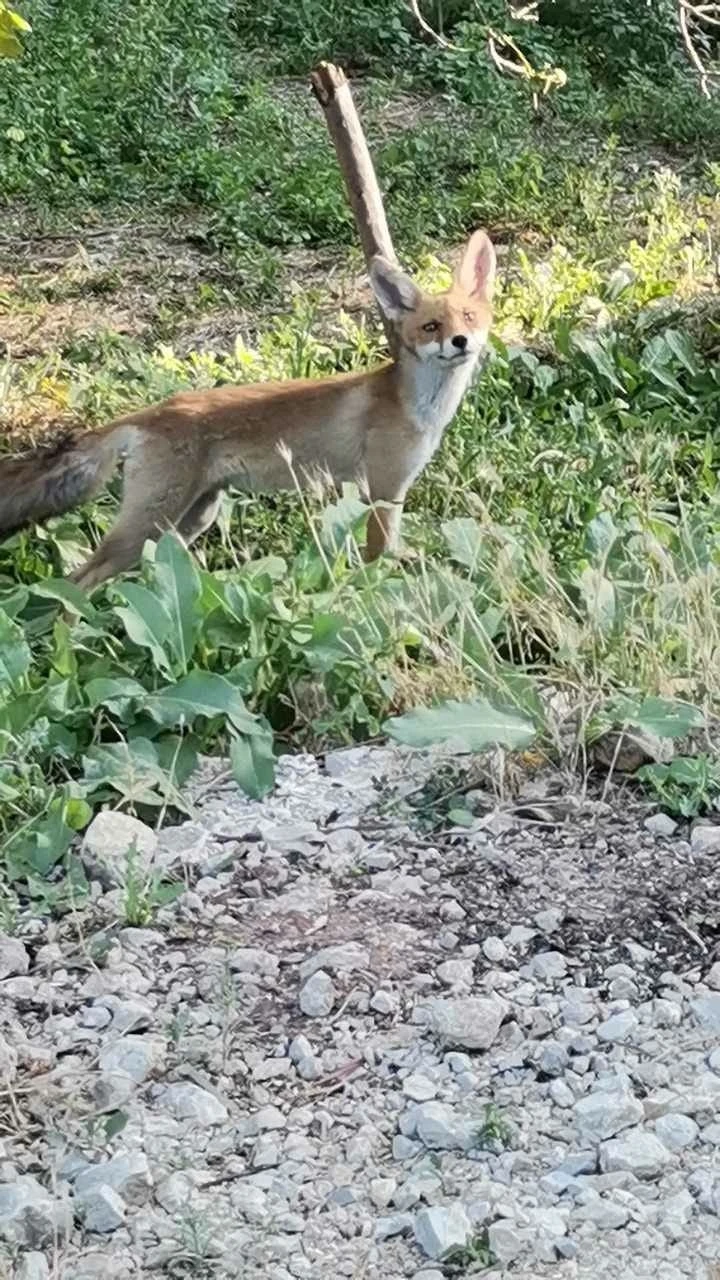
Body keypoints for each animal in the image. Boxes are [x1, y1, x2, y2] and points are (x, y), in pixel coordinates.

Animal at [0, 230, 491, 588]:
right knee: (75, 582)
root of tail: (151, 412)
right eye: (431, 327)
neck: (415, 407)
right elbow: (378, 561)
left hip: (190, 520)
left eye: (468, 318)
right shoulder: (382, 492)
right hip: (149, 525)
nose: (460, 342)